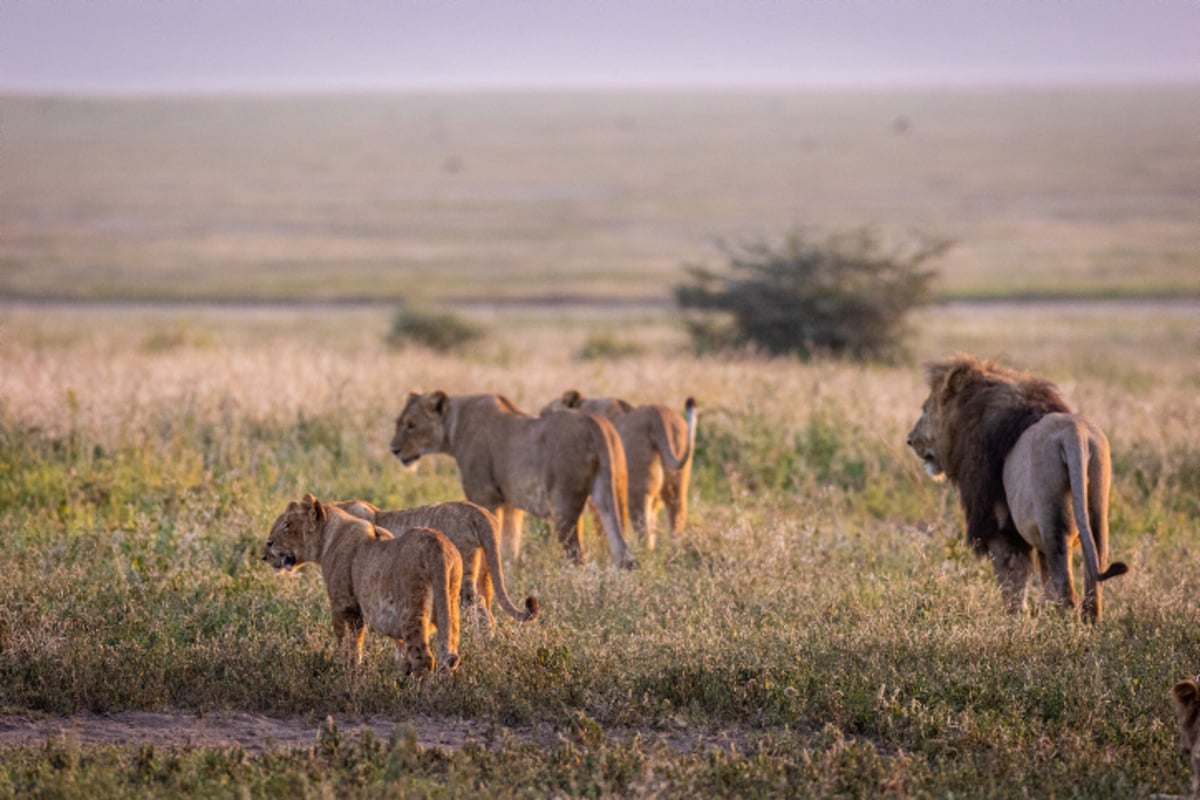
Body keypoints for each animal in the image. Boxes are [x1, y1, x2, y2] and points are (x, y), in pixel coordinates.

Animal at [262, 494, 463, 676]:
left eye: (287, 524)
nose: (264, 554)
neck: (328, 538)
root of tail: (437, 545)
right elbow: (392, 651)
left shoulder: (344, 604)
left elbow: (347, 641)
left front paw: (346, 671)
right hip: (449, 607)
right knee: (448, 657)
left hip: (411, 611)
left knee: (424, 659)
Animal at [542, 388, 700, 551]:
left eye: (544, 414)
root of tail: (657, 414)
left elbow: (600, 527)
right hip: (677, 489)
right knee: (676, 523)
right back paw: (674, 553)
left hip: (637, 492)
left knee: (643, 531)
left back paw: (643, 552)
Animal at [902, 352, 1128, 623]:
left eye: (925, 409)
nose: (910, 440)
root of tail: (1076, 435)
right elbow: (1042, 578)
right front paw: (1039, 610)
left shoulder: (998, 523)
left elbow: (1011, 577)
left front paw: (1015, 618)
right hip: (1096, 509)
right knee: (1094, 574)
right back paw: (1088, 621)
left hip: (1053, 521)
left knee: (1066, 584)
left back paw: (1062, 625)